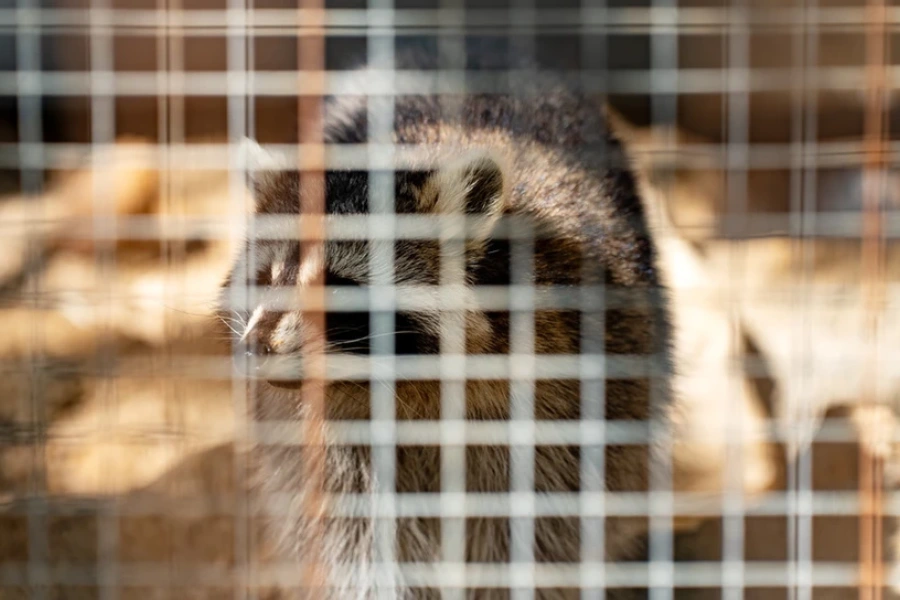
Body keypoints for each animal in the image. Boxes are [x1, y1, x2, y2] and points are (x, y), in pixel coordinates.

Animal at [221, 52, 674, 599]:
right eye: (267, 279)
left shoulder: (559, 416)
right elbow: (363, 544)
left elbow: (538, 536)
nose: (255, 349)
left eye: (337, 286)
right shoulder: (333, 446)